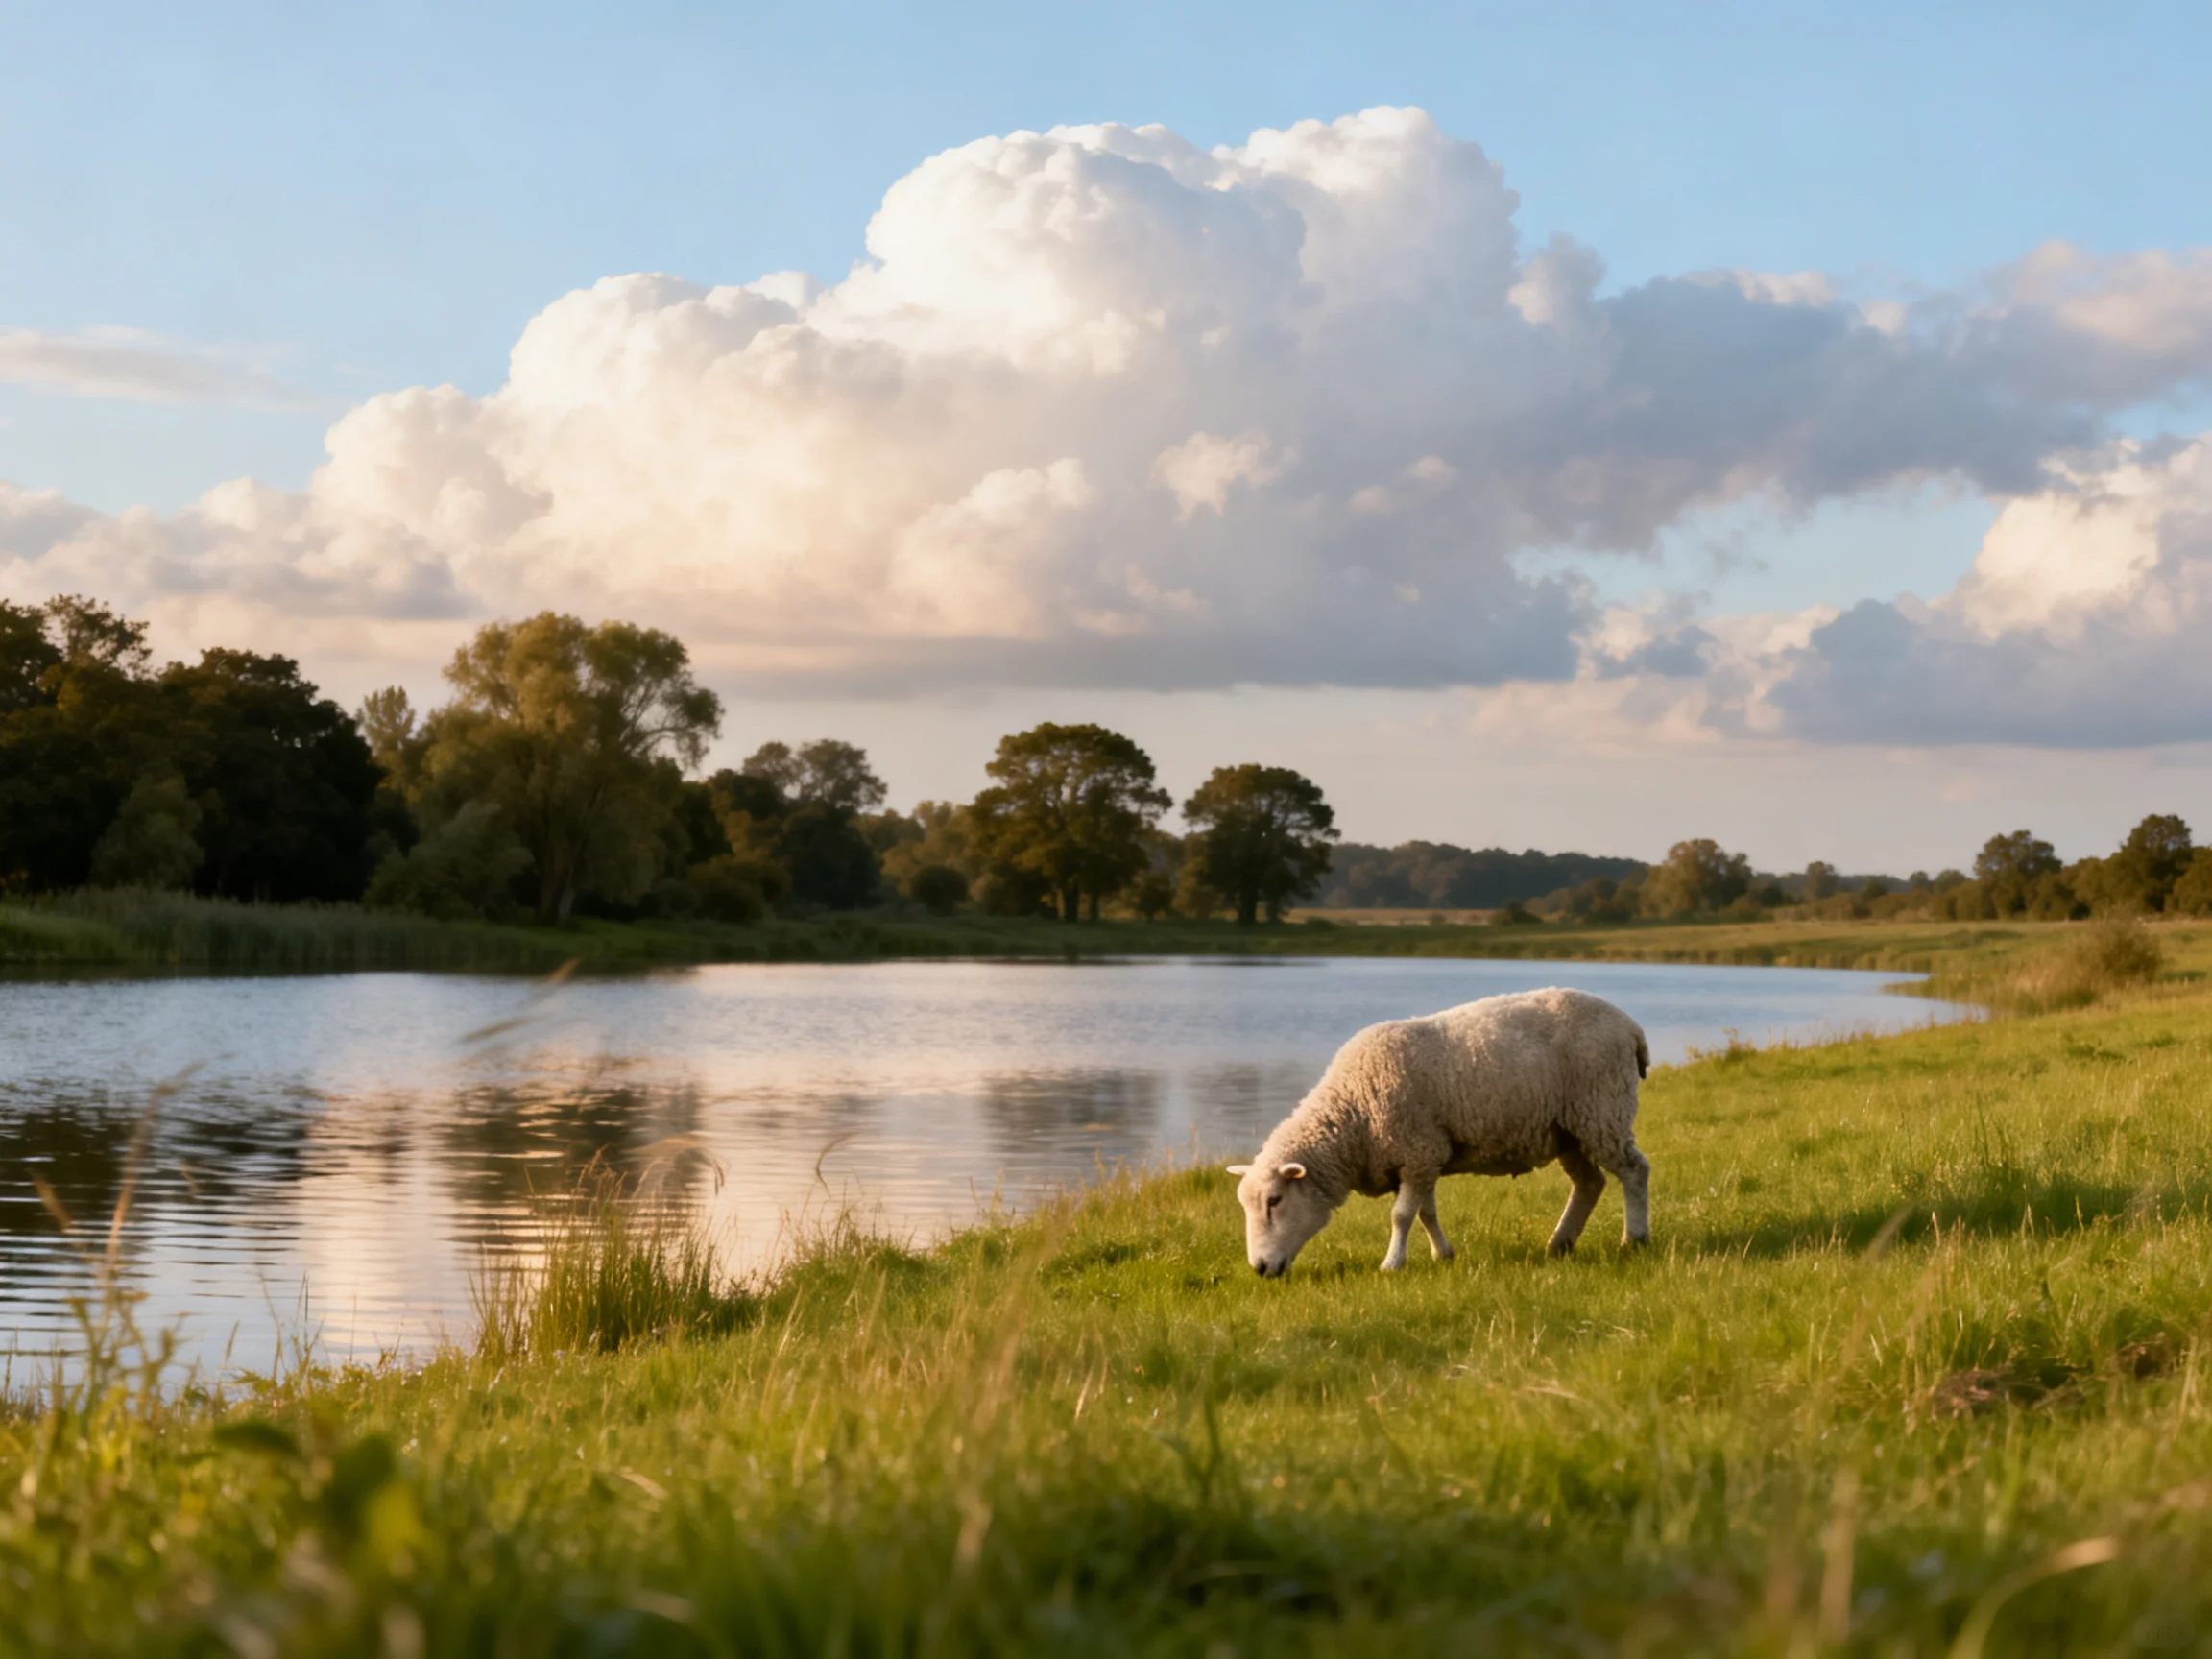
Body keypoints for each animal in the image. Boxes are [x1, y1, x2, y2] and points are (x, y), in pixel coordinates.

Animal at [1226, 987, 1652, 1277]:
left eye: (1275, 1201)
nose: (1260, 1268)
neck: (1354, 1113)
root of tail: (1630, 1025)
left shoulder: (1418, 1151)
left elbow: (1401, 1216)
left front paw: (1391, 1264)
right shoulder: (1422, 1157)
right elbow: (1425, 1212)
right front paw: (1442, 1255)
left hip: (1603, 1109)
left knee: (1634, 1171)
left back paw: (1634, 1239)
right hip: (1569, 1129)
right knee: (1589, 1183)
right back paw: (1560, 1243)